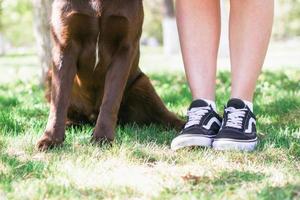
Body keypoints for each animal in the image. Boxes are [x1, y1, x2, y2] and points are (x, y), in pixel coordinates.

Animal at [36, 0, 184, 150]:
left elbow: (111, 100)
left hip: (143, 83)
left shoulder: (124, 49)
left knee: (166, 116)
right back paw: (70, 123)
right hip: (50, 77)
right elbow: (59, 100)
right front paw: (51, 139)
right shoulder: (65, 45)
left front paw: (102, 138)